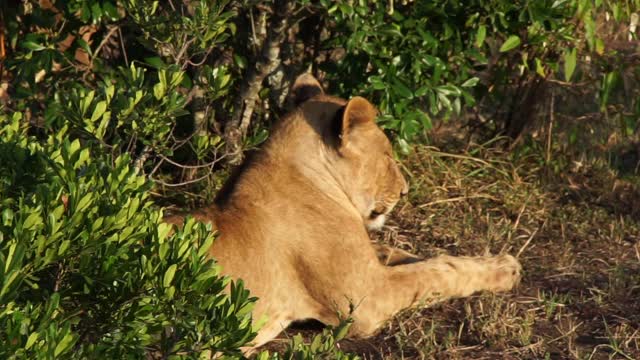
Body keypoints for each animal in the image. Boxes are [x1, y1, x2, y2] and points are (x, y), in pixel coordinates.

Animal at [164, 74, 520, 352]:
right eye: (388, 155)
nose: (405, 191)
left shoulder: (368, 264)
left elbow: (412, 256)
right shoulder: (366, 300)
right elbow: (435, 274)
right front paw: (506, 269)